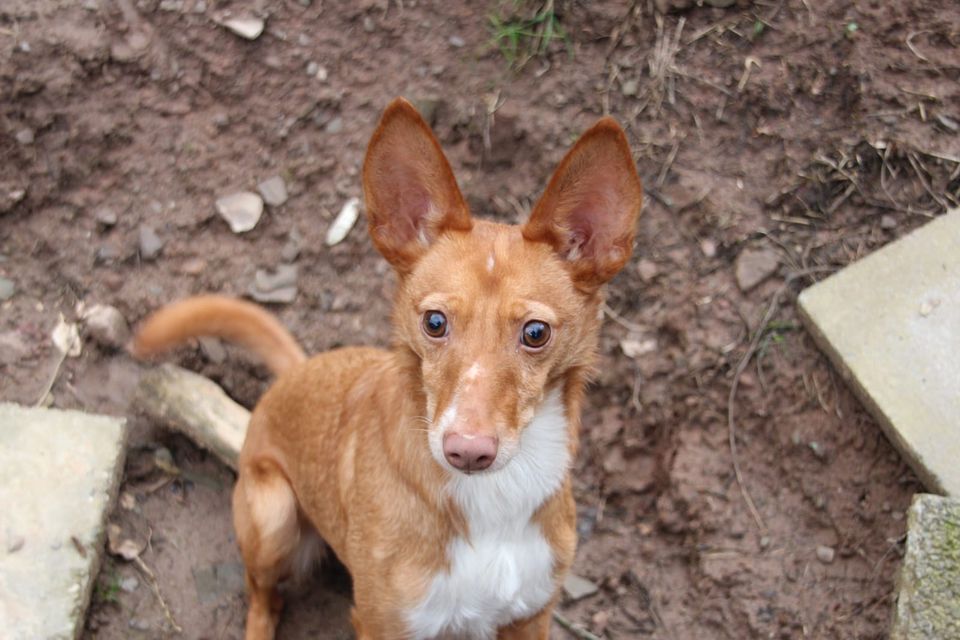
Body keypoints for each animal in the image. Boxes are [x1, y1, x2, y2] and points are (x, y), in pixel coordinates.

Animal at [133, 99, 644, 640]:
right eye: (434, 322)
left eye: (536, 333)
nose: (467, 451)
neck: (492, 504)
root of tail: (299, 369)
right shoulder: (385, 621)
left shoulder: (531, 615)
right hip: (273, 517)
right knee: (261, 596)